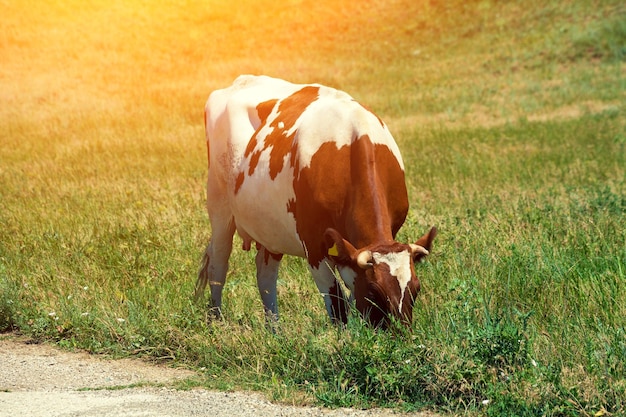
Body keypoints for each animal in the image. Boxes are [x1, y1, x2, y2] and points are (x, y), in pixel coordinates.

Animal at [194, 75, 434, 328]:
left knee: (265, 273)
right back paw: (216, 322)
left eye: (416, 289)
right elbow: (337, 303)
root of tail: (242, 80)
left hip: (270, 227)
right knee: (218, 264)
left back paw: (275, 331)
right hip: (218, 204)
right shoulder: (313, 243)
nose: (400, 333)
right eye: (373, 290)